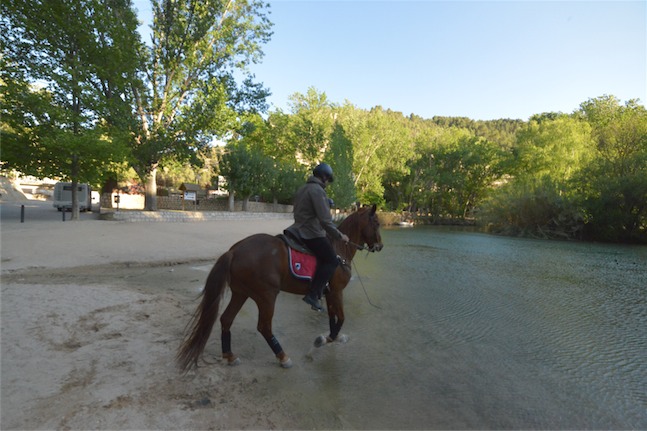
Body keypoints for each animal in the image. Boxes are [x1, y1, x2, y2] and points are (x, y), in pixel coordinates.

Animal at [176, 205, 384, 372]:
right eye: (376, 223)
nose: (380, 246)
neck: (339, 250)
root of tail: (235, 250)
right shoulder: (337, 291)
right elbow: (340, 319)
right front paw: (323, 341)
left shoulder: (330, 294)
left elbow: (334, 319)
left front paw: (333, 338)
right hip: (267, 296)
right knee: (264, 327)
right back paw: (283, 357)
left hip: (241, 293)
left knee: (226, 319)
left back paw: (229, 355)